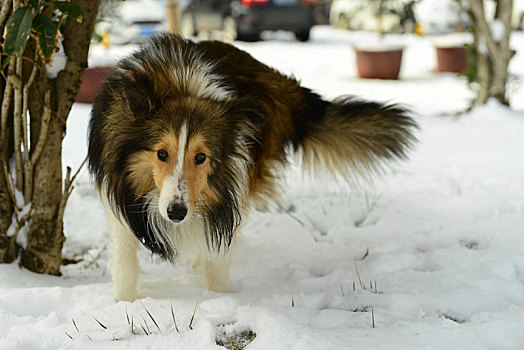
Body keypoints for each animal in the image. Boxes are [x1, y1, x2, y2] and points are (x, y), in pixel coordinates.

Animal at [89, 33, 418, 300]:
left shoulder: (228, 191)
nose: (176, 213)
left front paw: (221, 298)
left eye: (201, 157)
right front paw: (124, 303)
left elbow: (217, 252)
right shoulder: (117, 200)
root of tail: (278, 80)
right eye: (161, 153)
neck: (180, 86)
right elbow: (124, 258)